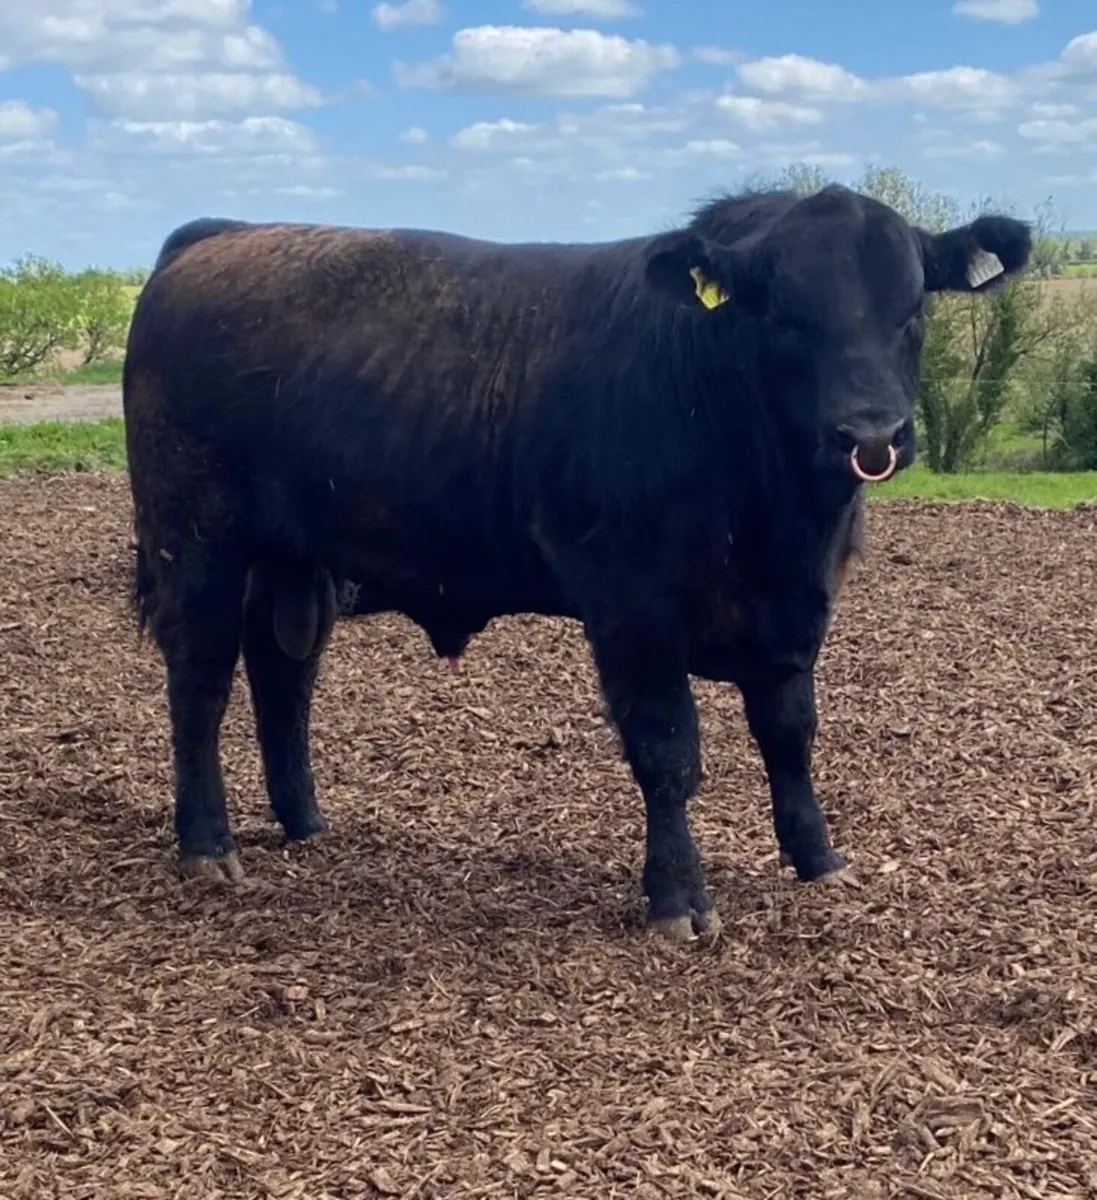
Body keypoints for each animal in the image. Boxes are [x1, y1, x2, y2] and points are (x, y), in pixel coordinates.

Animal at [122, 184, 1032, 943]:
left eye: (910, 310)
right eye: (784, 316)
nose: (871, 433)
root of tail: (223, 233)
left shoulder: (795, 613)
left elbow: (790, 734)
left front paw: (817, 861)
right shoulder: (632, 604)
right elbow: (668, 752)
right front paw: (678, 900)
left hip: (293, 558)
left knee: (283, 674)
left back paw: (305, 823)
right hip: (196, 541)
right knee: (200, 680)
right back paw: (207, 844)